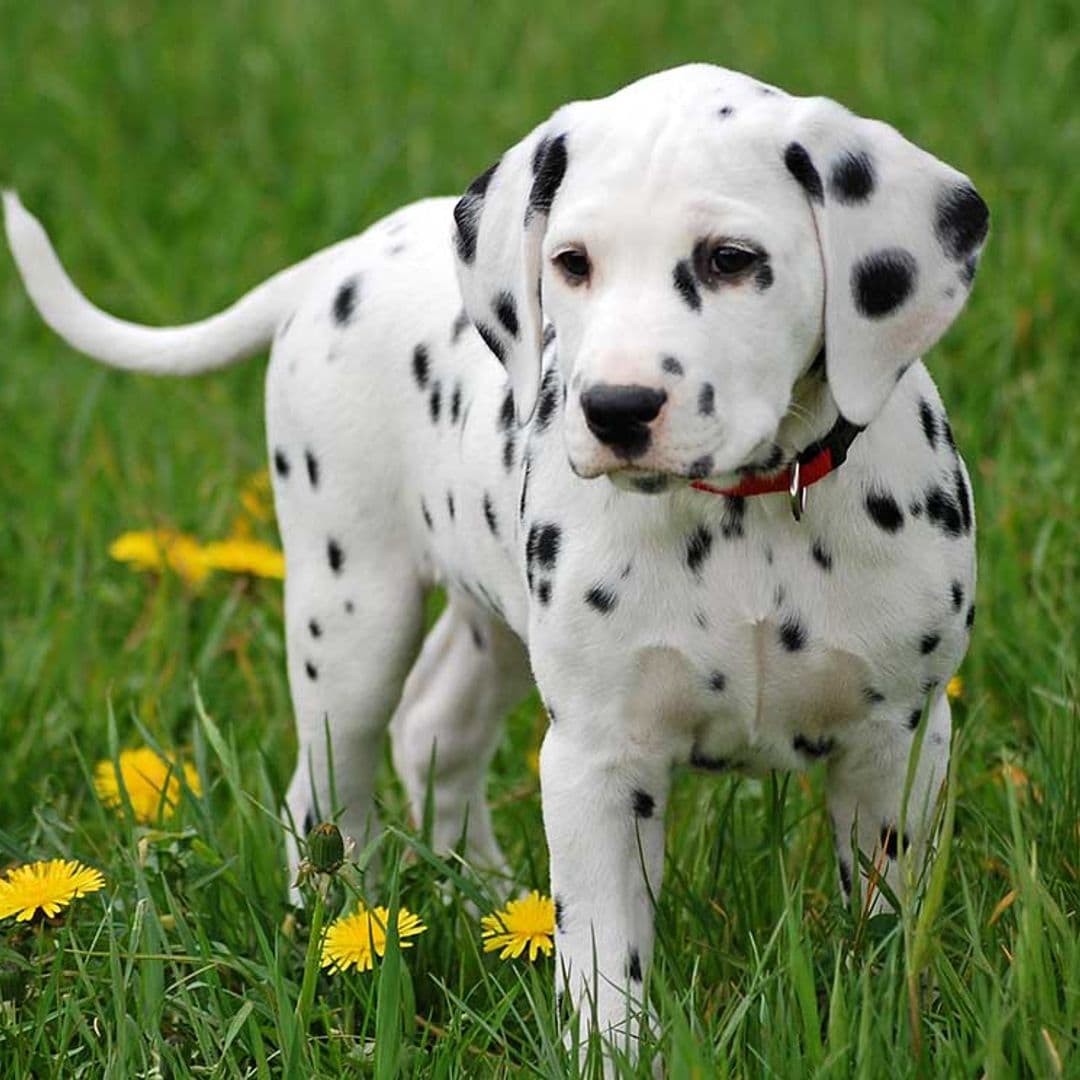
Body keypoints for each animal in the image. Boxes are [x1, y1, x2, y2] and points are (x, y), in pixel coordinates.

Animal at [6, 65, 989, 1062]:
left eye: (731, 259)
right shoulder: (598, 761)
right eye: (572, 262)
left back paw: (481, 892)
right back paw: (343, 935)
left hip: (498, 624)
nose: (616, 409)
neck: (743, 515)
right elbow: (604, 955)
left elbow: (887, 924)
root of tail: (338, 262)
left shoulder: (898, 745)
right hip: (352, 619)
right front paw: (610, 1052)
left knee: (436, 724)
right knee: (325, 789)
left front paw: (886, 1019)